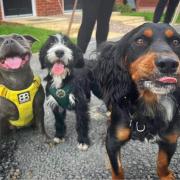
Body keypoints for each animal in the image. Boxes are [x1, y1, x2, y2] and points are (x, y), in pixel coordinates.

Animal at [93, 23, 180, 179]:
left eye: (176, 42)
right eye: (140, 40)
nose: (169, 64)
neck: (150, 104)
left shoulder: (171, 139)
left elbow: (163, 162)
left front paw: (166, 175)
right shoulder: (113, 140)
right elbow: (117, 169)